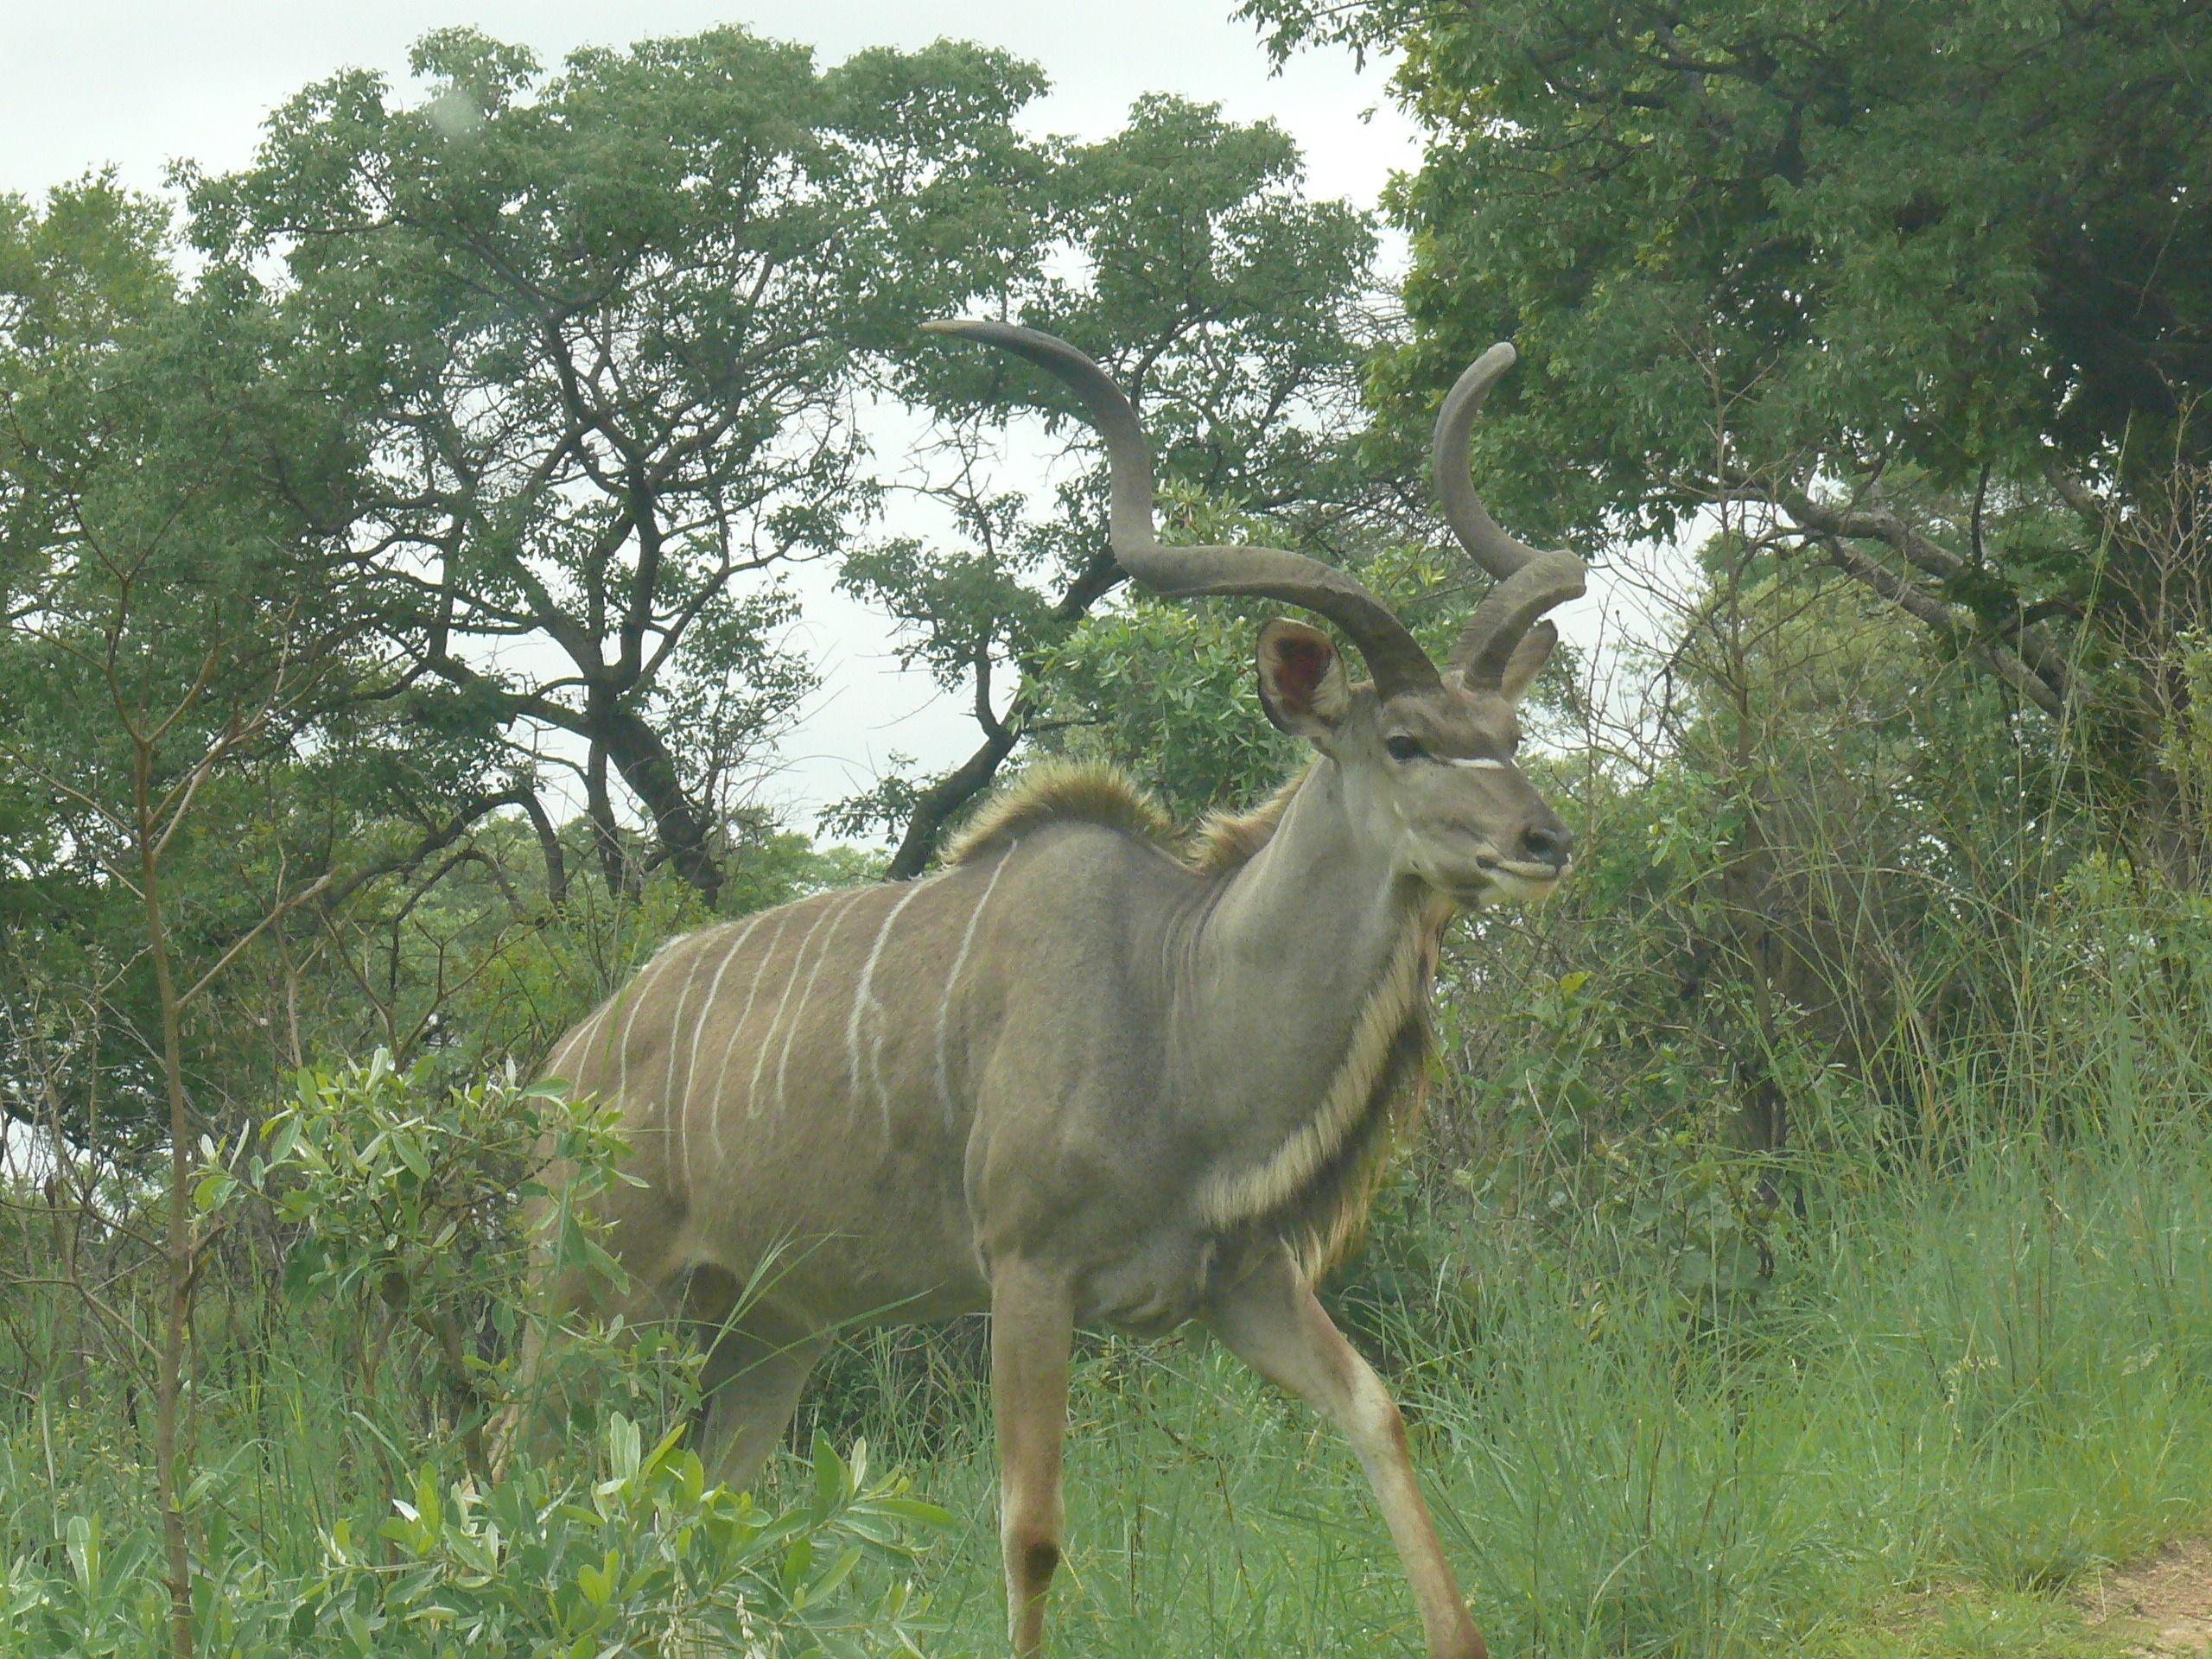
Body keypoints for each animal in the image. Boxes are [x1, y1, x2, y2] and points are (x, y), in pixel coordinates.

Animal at [527, 321, 1585, 1659]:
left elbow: (1377, 1416)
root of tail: (562, 1065)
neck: (1176, 1000)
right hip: (585, 1304)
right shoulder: (1027, 1276)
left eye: (1508, 733)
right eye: (1405, 742)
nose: (1546, 840)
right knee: (519, 1474)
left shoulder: (1243, 1279)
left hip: (769, 1326)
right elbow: (1028, 1531)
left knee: (701, 1521)